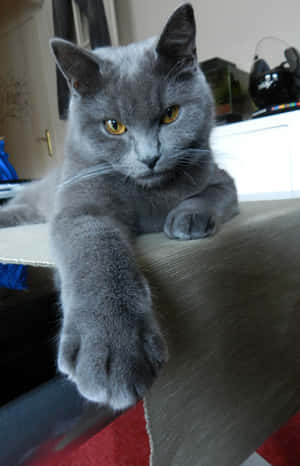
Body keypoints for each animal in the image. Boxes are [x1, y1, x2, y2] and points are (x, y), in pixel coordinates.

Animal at [0, 5, 239, 410]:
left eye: (171, 114)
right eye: (114, 126)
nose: (150, 157)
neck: (148, 193)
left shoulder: (219, 175)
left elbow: (215, 192)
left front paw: (187, 217)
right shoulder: (80, 204)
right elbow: (96, 249)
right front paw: (113, 349)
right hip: (36, 199)